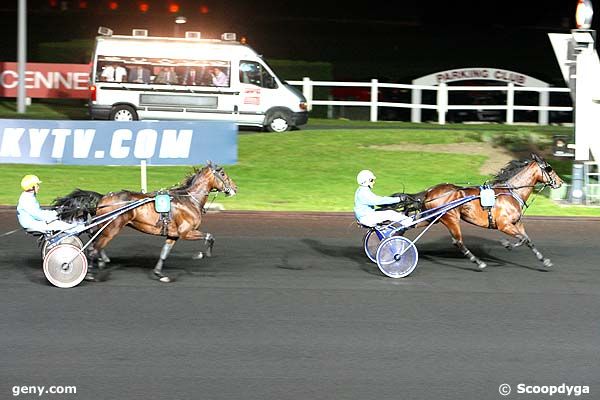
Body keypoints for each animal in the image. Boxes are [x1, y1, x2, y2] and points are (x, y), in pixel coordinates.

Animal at [53, 162, 237, 282]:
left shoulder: (173, 235)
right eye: (222, 174)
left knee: (93, 239)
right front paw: (201, 254)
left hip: (105, 227)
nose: (235, 188)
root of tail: (104, 197)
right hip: (112, 228)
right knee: (93, 246)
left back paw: (102, 260)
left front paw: (159, 274)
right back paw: (90, 272)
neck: (189, 200)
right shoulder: (186, 232)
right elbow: (210, 236)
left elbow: (164, 253)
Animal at [394, 153, 564, 268]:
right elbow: (522, 239)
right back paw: (478, 262)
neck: (511, 192)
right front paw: (506, 244)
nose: (560, 182)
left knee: (407, 226)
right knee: (458, 241)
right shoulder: (504, 225)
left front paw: (544, 260)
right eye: (549, 169)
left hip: (431, 217)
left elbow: (528, 240)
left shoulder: (517, 223)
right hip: (450, 218)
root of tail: (430, 191)